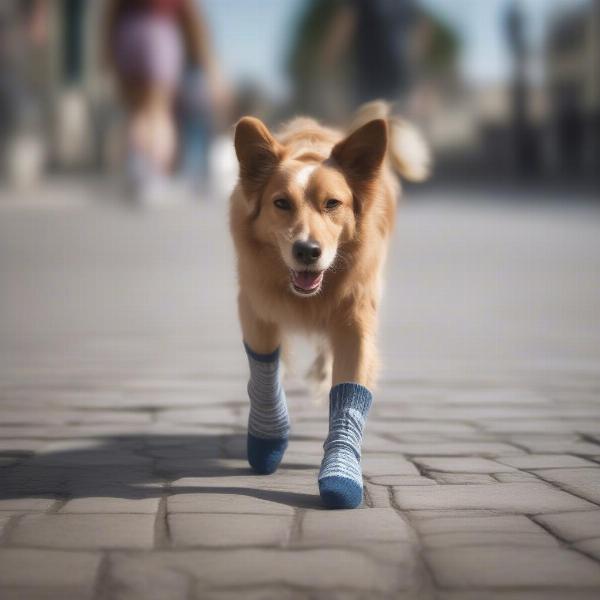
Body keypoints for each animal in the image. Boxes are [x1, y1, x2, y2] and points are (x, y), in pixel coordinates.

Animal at [227, 101, 428, 508]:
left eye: (332, 204)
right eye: (281, 203)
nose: (307, 251)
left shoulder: (355, 319)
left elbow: (349, 390)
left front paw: (340, 476)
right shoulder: (256, 306)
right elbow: (265, 371)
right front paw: (268, 438)